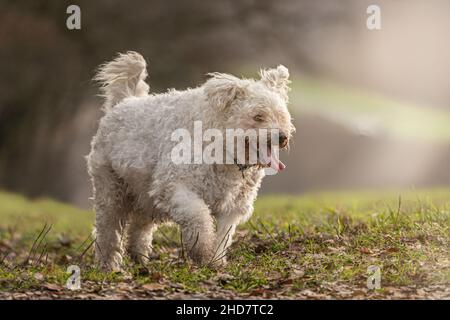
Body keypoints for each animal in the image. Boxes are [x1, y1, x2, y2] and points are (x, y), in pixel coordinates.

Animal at [88, 52, 296, 270]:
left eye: (281, 116)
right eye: (258, 116)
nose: (282, 137)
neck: (220, 144)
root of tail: (123, 101)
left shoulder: (232, 205)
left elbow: (223, 236)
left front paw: (216, 261)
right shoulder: (175, 187)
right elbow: (199, 216)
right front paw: (202, 251)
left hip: (144, 193)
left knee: (139, 225)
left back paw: (139, 258)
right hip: (111, 188)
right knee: (108, 229)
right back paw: (108, 265)